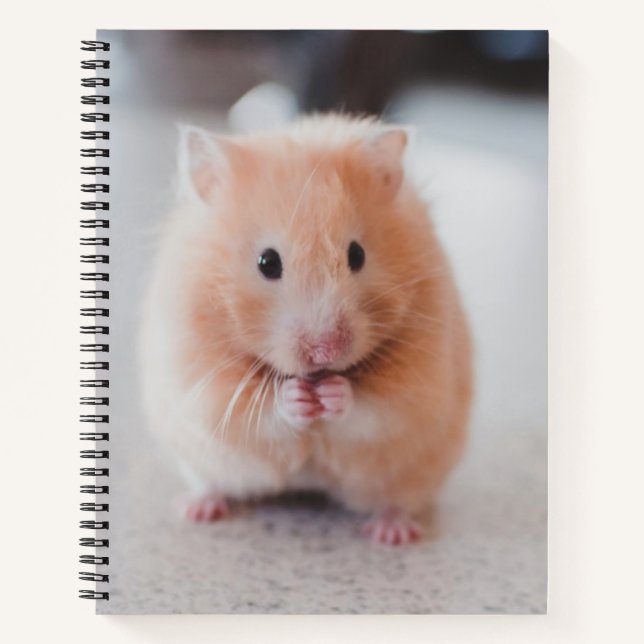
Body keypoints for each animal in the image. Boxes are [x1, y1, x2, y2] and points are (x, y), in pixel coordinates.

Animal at [139, 114, 472, 545]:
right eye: (267, 262)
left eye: (357, 255)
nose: (325, 352)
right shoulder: (201, 381)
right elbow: (257, 411)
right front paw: (297, 397)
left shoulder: (419, 383)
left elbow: (375, 408)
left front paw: (333, 394)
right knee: (211, 483)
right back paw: (197, 509)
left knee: (396, 501)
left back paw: (392, 533)